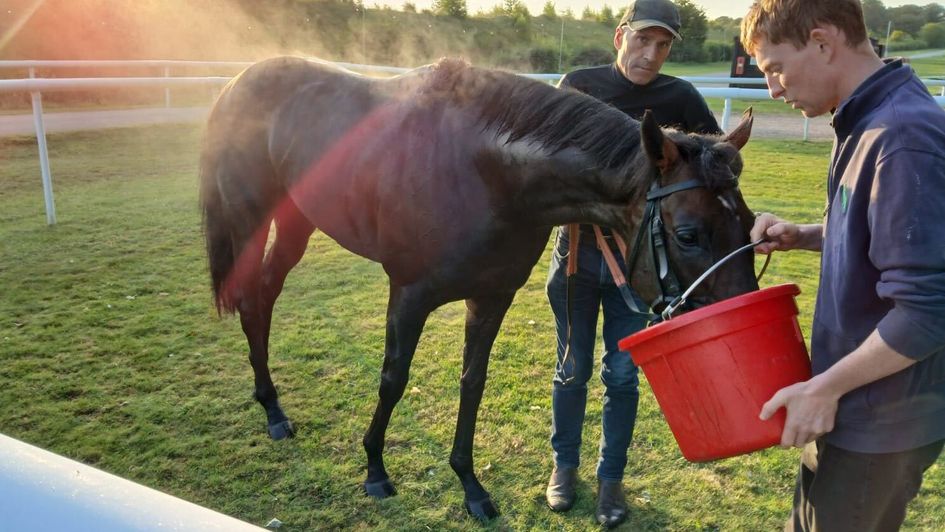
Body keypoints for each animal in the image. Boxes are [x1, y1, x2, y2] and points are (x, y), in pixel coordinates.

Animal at [199, 56, 760, 516]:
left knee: (265, 295)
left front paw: (470, 485)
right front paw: (375, 470)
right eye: (687, 235)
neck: (484, 170)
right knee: (251, 298)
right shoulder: (409, 294)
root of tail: (237, 81)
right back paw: (272, 411)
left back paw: (273, 407)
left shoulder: (492, 297)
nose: (741, 317)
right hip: (252, 219)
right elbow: (393, 379)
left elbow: (473, 383)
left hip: (297, 219)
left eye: (749, 223)